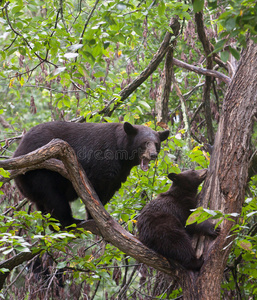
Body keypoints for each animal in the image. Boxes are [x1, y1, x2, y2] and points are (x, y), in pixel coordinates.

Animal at [14, 120, 170, 226]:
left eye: (156, 144)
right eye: (144, 143)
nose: (153, 155)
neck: (121, 150)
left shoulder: (120, 173)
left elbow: (111, 187)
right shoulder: (103, 159)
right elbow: (97, 186)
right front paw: (93, 216)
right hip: (40, 172)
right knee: (55, 198)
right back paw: (70, 221)